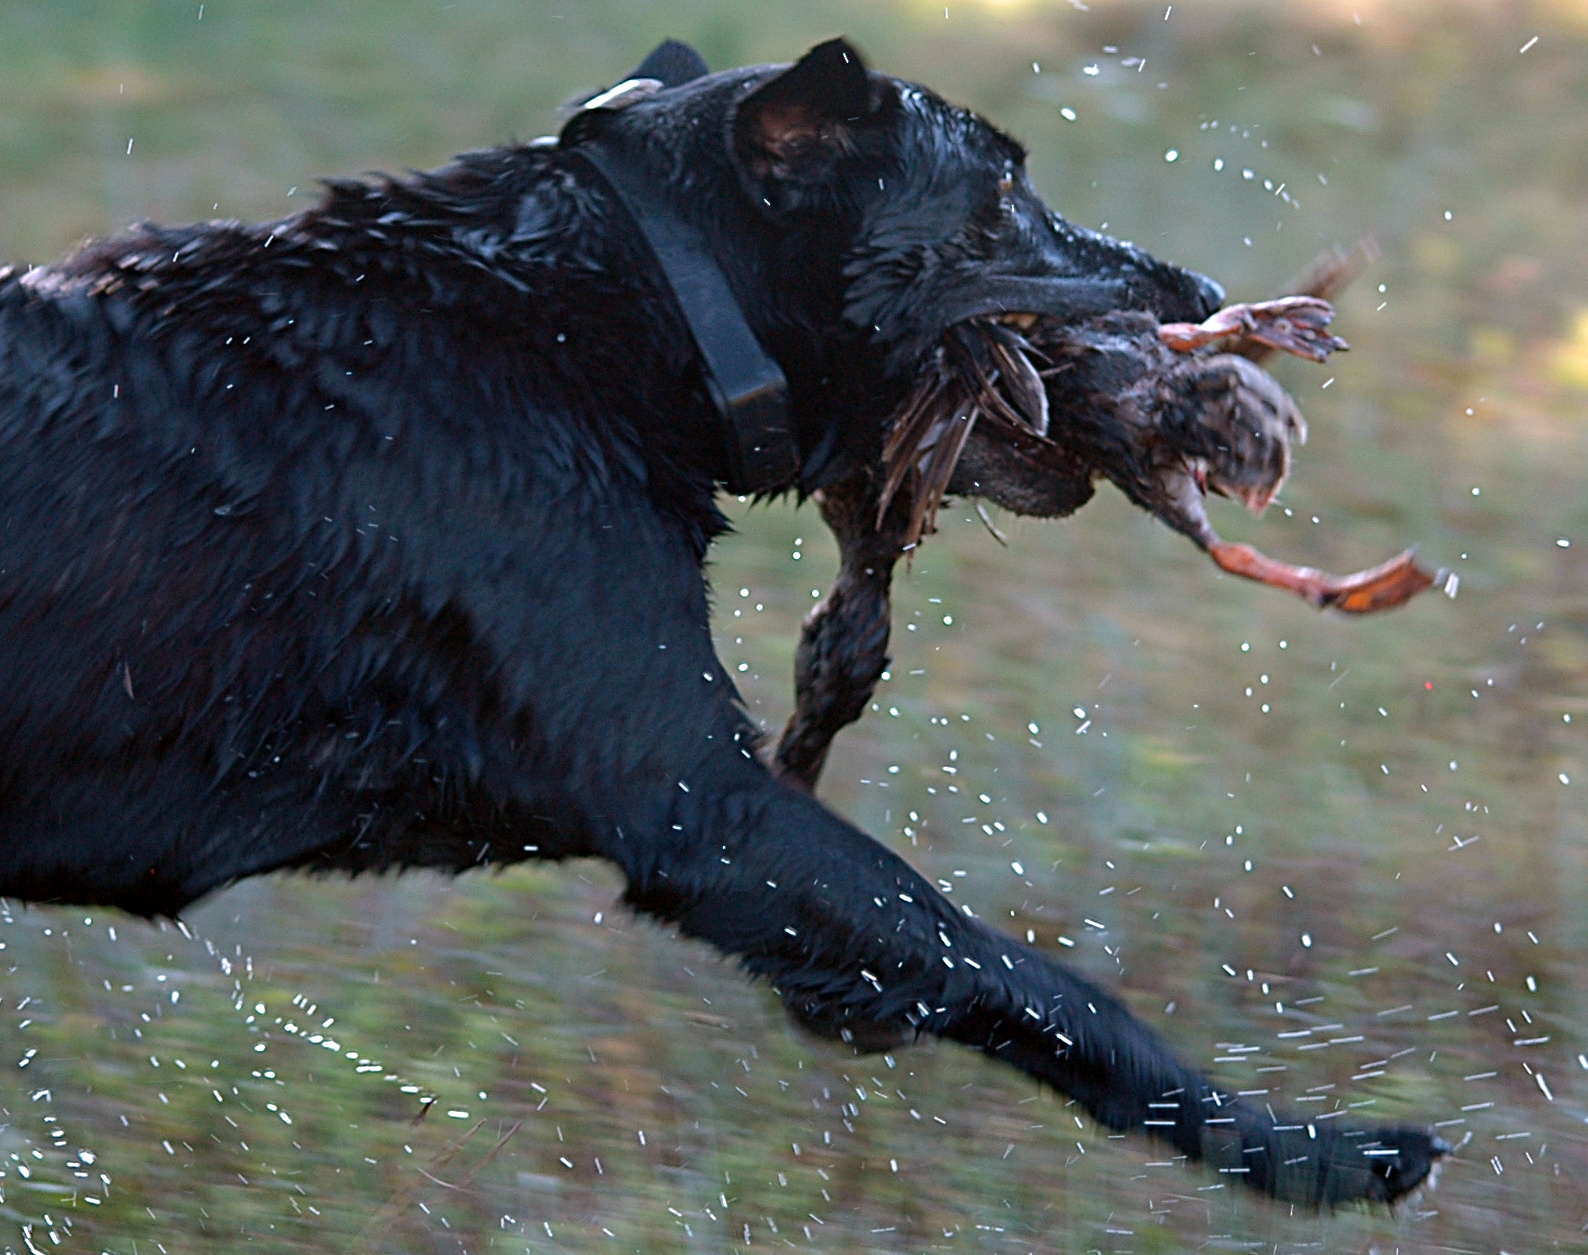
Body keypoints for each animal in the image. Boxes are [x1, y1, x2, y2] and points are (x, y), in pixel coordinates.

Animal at [0, 36, 1441, 1200]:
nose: (1192, 288)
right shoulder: (700, 804)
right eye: (999, 197)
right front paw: (1316, 1150)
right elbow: (1019, 971)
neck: (594, 310)